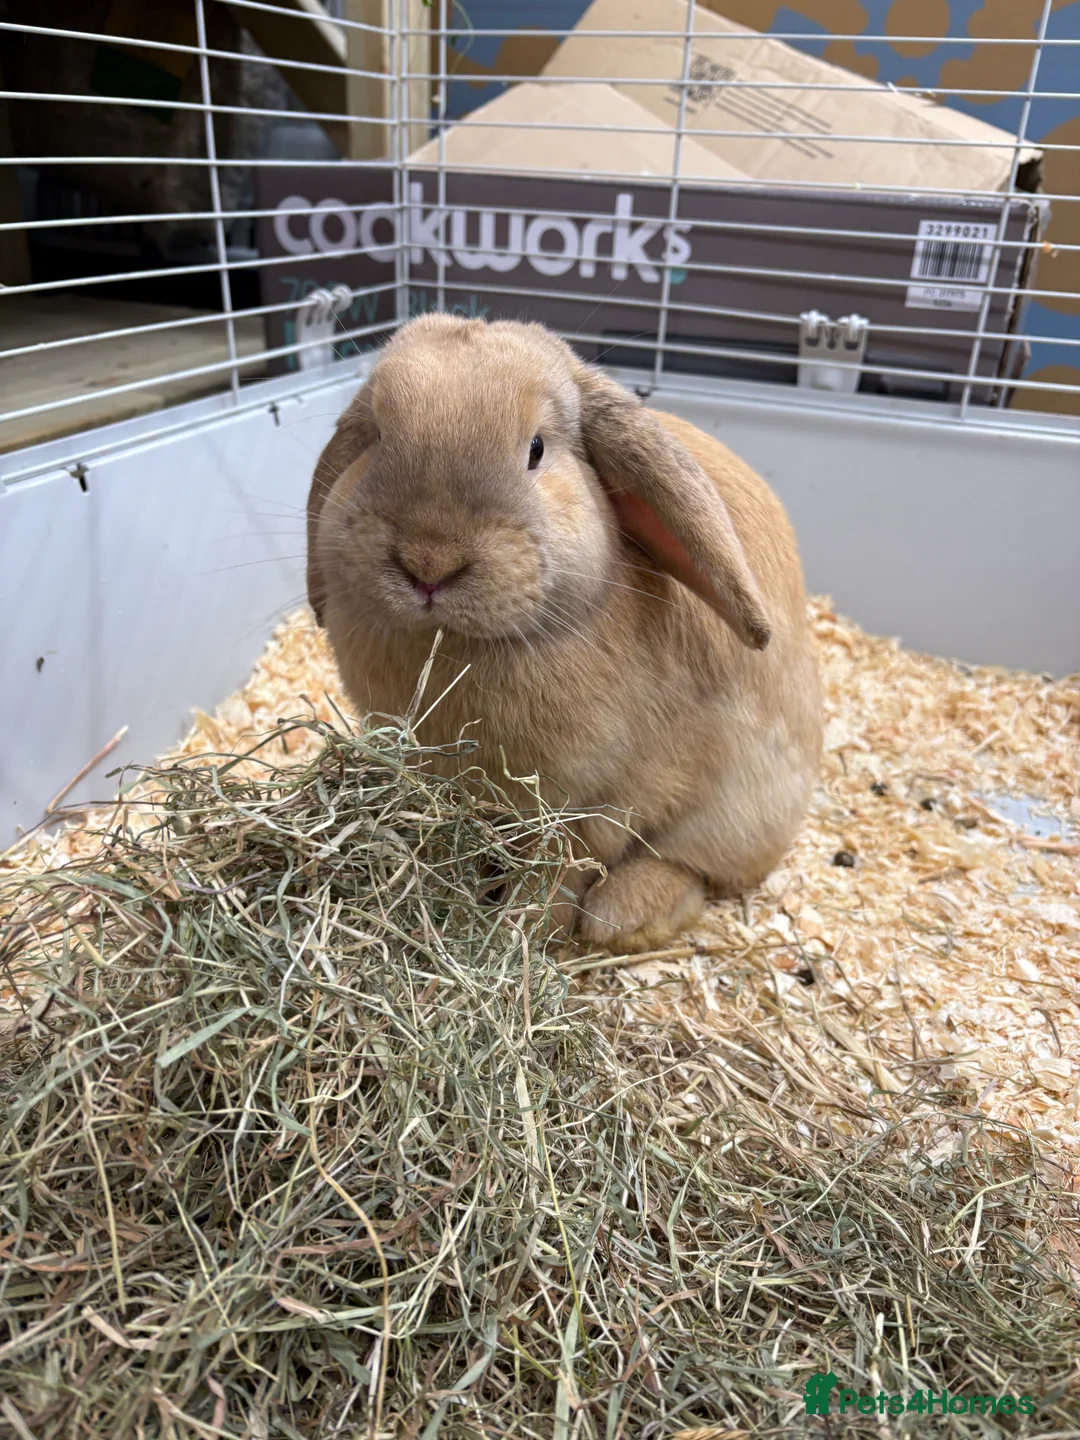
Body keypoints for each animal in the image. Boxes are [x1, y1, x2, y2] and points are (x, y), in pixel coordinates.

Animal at [307, 314, 822, 952]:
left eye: (537, 449)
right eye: (376, 436)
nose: (429, 563)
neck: (458, 647)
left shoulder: (599, 803)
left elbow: (560, 869)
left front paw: (518, 932)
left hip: (739, 814)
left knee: (695, 869)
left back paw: (621, 919)